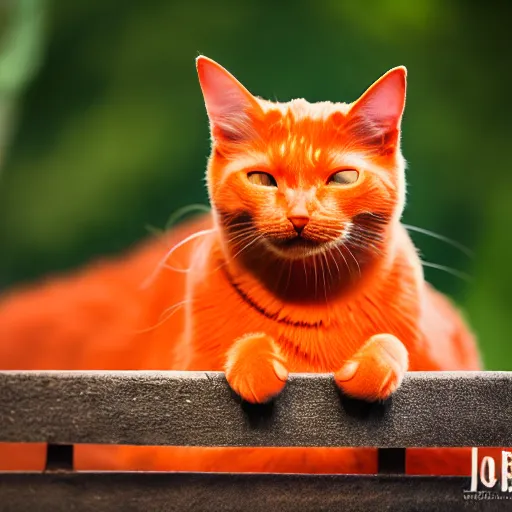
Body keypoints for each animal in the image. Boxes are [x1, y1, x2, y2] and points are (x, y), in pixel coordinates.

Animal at [0, 57, 484, 476]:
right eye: (262, 179)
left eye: (343, 178)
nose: (299, 215)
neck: (308, 304)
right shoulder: (182, 443)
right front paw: (254, 360)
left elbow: (393, 344)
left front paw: (371, 364)